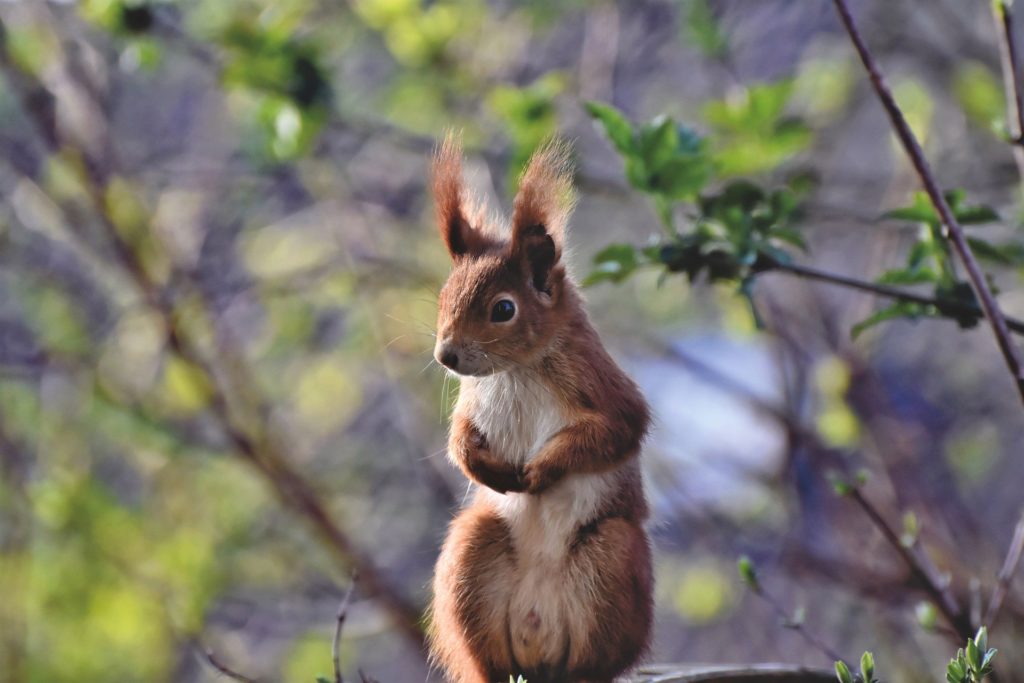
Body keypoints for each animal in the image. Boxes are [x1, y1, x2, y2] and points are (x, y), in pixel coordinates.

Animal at [428, 135, 651, 683]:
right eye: (443, 297)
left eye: (504, 309)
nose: (446, 356)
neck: (517, 370)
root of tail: (538, 636)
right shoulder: (473, 397)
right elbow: (458, 437)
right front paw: (479, 463)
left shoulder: (601, 385)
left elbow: (616, 431)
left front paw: (543, 469)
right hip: (470, 556)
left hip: (612, 561)